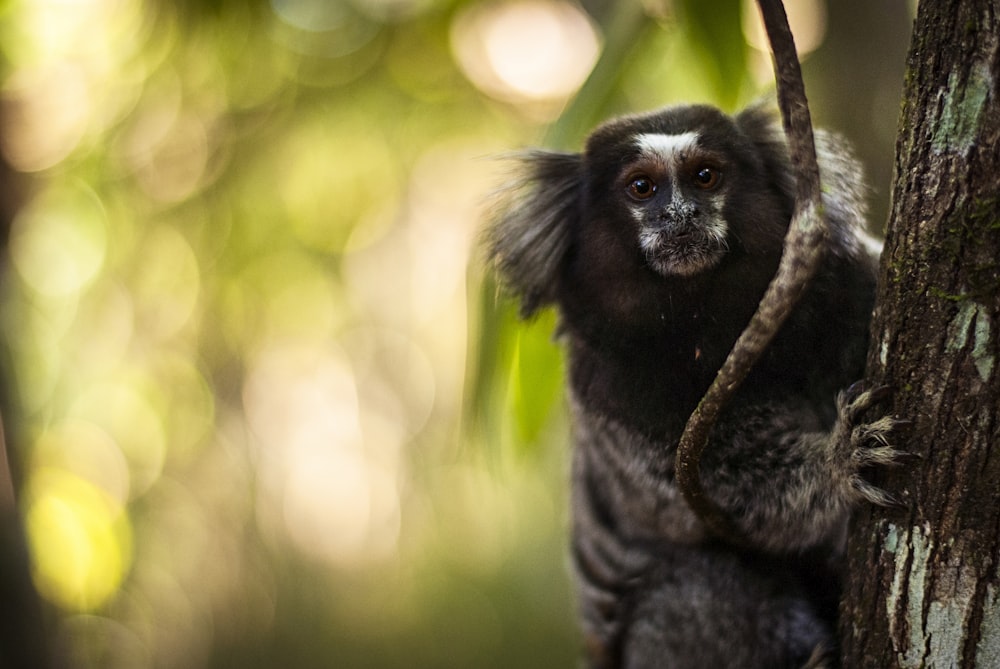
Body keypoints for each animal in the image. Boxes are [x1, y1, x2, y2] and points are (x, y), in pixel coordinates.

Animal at [484, 102, 900, 664]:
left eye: (706, 176)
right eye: (642, 187)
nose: (680, 215)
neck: (709, 322)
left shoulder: (839, 280)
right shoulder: (610, 390)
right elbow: (718, 498)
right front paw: (839, 460)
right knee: (702, 583)